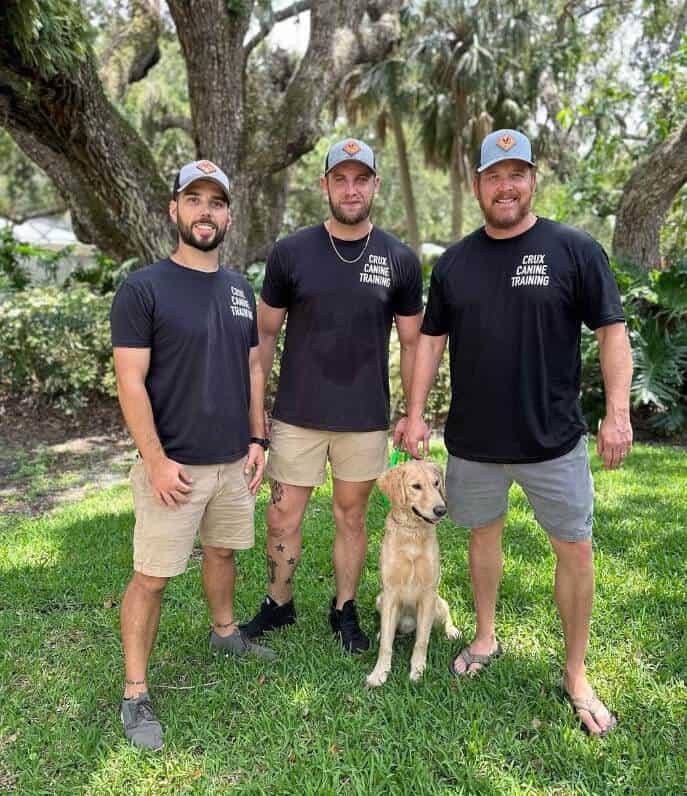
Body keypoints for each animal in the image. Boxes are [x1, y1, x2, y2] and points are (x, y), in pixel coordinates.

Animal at [368, 458, 460, 688]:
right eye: (416, 486)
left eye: (436, 483)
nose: (441, 510)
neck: (412, 533)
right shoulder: (390, 593)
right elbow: (386, 644)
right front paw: (379, 673)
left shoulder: (428, 593)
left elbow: (422, 641)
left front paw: (418, 671)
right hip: (380, 599)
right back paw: (381, 632)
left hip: (438, 604)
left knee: (446, 614)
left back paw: (451, 631)